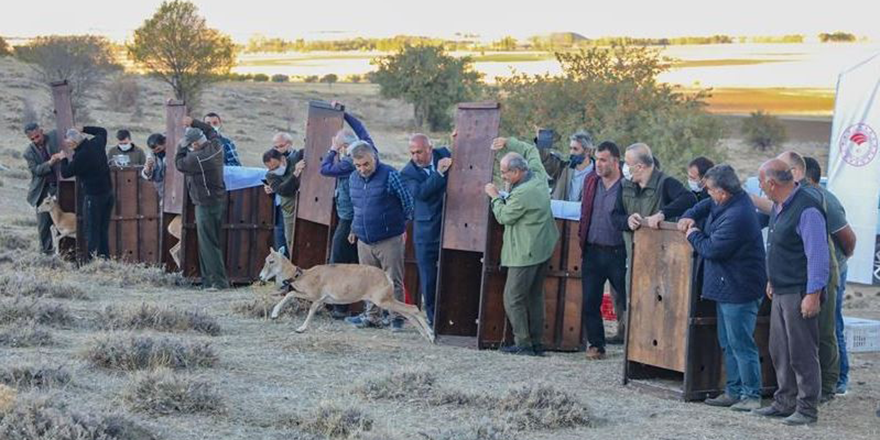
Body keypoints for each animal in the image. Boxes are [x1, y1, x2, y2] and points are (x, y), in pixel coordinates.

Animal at [258, 248, 436, 344]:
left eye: (271, 261)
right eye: (266, 259)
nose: (261, 277)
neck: (303, 275)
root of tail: (387, 277)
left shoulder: (316, 296)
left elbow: (297, 298)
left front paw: (299, 328)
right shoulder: (320, 299)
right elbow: (293, 295)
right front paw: (276, 315)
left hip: (384, 301)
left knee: (413, 308)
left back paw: (431, 335)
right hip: (387, 300)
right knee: (409, 312)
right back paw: (426, 336)